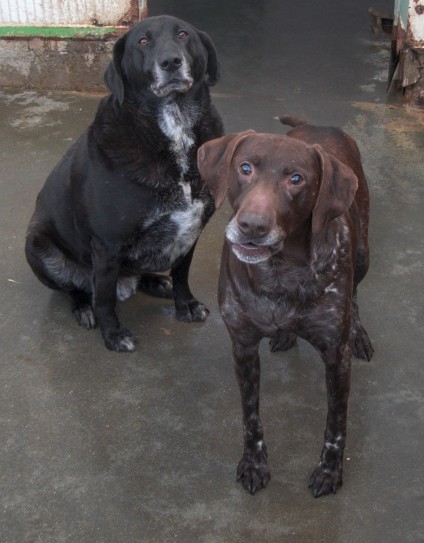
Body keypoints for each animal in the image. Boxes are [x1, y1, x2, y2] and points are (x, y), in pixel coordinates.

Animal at [25, 15, 225, 352]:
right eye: (143, 41)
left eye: (183, 35)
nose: (170, 62)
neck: (175, 127)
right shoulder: (107, 245)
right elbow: (104, 299)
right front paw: (113, 334)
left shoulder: (191, 231)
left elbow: (182, 274)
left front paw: (185, 304)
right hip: (37, 246)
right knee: (77, 289)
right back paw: (83, 307)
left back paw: (156, 281)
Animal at [197, 117, 372, 500]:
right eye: (245, 168)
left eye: (296, 179)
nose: (252, 226)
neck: (281, 274)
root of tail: (316, 125)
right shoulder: (243, 348)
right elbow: (250, 417)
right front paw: (254, 464)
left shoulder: (337, 357)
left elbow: (336, 424)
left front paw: (329, 471)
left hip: (364, 254)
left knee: (356, 291)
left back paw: (359, 332)